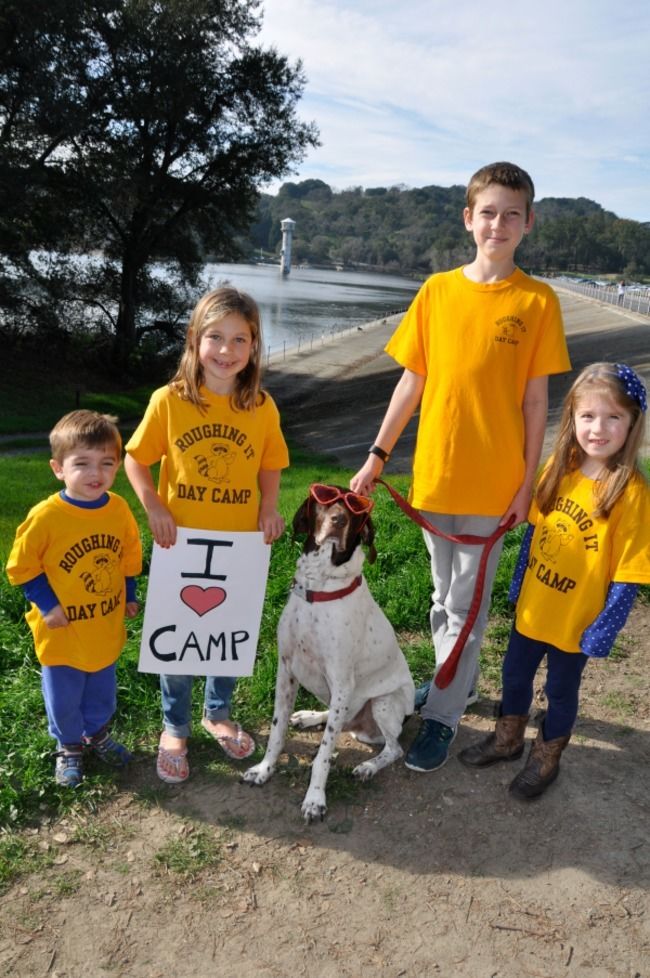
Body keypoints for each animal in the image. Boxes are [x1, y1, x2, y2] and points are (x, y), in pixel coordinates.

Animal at [243, 484, 416, 820]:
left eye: (356, 508)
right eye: (324, 498)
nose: (338, 520)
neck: (318, 588)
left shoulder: (341, 681)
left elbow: (323, 754)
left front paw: (314, 799)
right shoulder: (286, 671)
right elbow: (276, 731)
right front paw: (264, 769)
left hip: (383, 703)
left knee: (394, 748)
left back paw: (368, 766)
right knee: (339, 719)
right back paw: (309, 716)